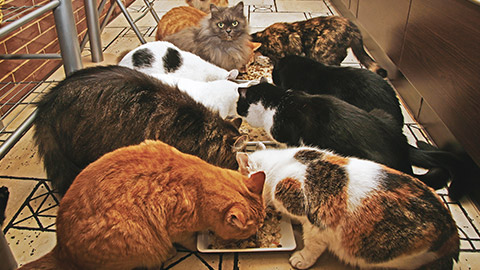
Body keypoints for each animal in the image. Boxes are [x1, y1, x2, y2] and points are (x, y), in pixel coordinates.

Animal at [19, 140, 266, 268]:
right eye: (250, 231)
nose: (256, 236)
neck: (198, 183)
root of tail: (61, 249)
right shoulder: (177, 229)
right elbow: (189, 240)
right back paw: (167, 254)